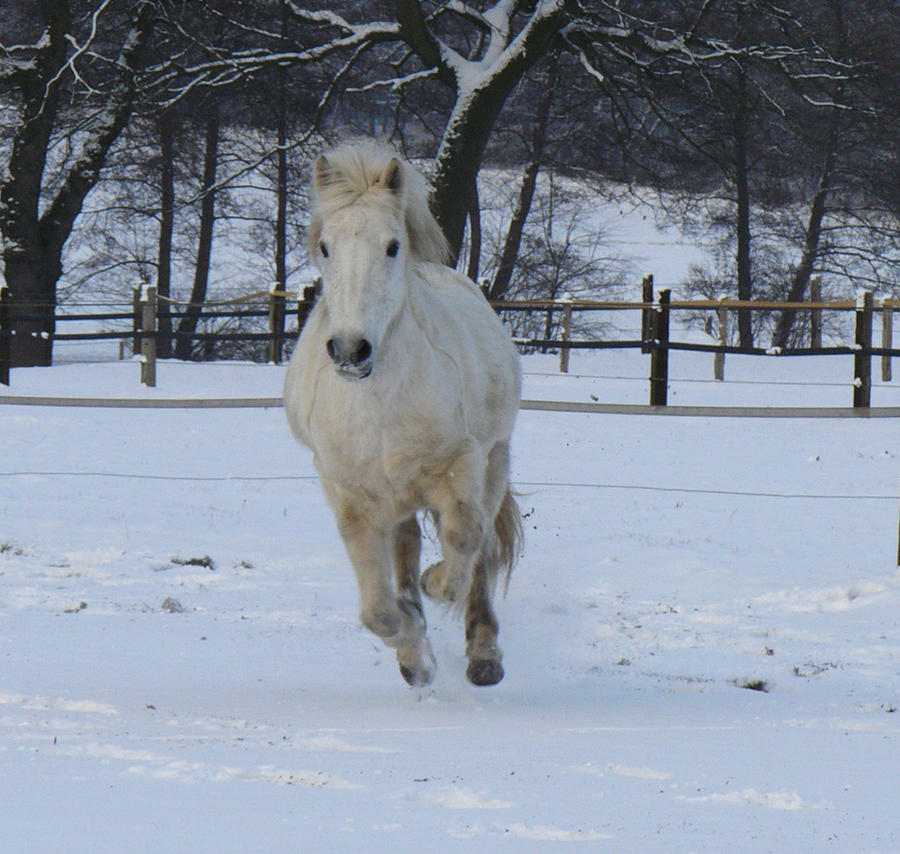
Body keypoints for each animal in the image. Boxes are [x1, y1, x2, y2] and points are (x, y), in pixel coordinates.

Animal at [284, 140, 524, 688]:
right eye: (325, 246)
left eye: (393, 246)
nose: (351, 351)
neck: (378, 411)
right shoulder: (351, 498)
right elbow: (377, 611)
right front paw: (415, 652)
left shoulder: (461, 465)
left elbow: (464, 536)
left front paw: (437, 586)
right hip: (396, 495)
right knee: (408, 545)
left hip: (495, 458)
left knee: (482, 550)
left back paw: (484, 655)